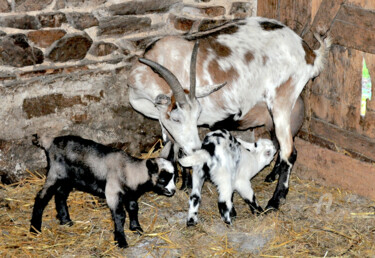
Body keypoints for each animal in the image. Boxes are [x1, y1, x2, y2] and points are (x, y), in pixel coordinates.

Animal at [29, 134, 176, 247]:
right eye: (163, 180)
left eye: (175, 177)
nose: (173, 191)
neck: (129, 171)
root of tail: (50, 141)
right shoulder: (112, 192)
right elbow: (120, 215)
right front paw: (121, 241)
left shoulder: (130, 194)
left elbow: (133, 208)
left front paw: (136, 228)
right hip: (55, 173)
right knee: (41, 197)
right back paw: (35, 229)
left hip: (69, 178)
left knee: (60, 195)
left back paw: (65, 220)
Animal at [129, 16, 332, 211]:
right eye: (176, 118)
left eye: (197, 115)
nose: (196, 148)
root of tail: (309, 52)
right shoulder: (167, 124)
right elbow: (175, 147)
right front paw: (183, 183)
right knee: (281, 145)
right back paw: (271, 177)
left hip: (281, 101)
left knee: (289, 151)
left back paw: (275, 201)